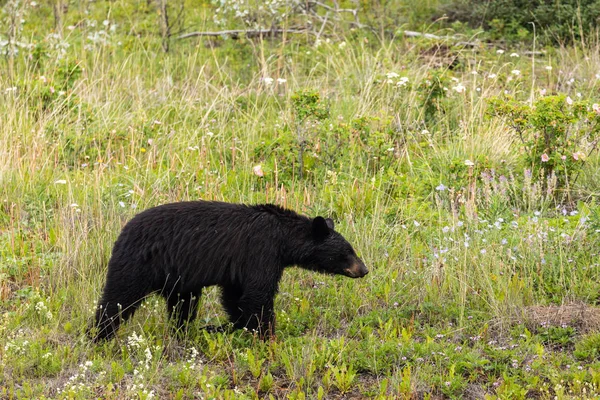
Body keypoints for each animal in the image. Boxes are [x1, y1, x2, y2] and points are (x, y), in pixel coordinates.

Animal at [91, 200, 368, 340]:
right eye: (347, 251)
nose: (364, 269)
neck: (283, 237)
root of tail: (122, 233)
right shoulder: (261, 250)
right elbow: (258, 295)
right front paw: (266, 335)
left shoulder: (239, 267)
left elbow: (236, 296)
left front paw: (231, 327)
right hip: (138, 264)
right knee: (117, 299)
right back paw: (99, 336)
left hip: (177, 279)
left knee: (183, 305)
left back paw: (183, 333)